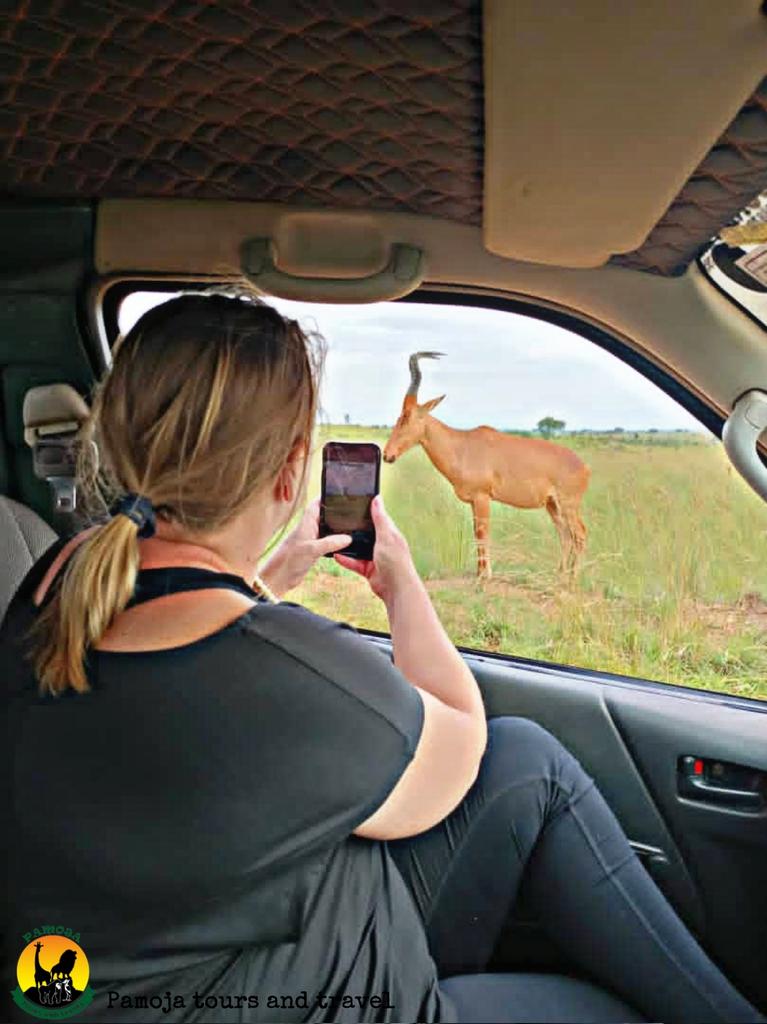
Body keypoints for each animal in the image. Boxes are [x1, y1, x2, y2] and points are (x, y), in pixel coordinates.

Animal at [383, 352, 590, 580]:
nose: (387, 455)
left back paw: (574, 577)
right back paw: (560, 573)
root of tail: (583, 466)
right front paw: (479, 572)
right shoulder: (474, 502)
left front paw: (486, 574)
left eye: (407, 416)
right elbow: (476, 532)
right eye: (399, 416)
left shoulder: (483, 498)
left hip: (569, 504)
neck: (463, 445)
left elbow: (483, 532)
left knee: (580, 534)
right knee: (565, 534)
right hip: (552, 505)